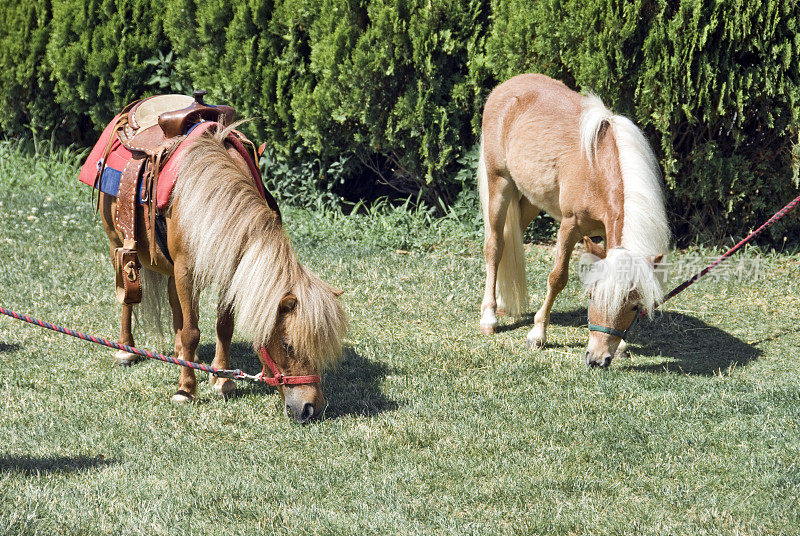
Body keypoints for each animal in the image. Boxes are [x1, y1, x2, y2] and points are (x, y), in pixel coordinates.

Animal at [97, 123, 346, 420]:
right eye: (287, 345)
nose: (311, 408)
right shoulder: (186, 271)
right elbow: (192, 331)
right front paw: (185, 390)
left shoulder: (230, 271)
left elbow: (223, 326)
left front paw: (222, 379)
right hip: (117, 245)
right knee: (127, 297)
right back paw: (126, 349)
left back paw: (183, 355)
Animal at [478, 73, 672, 366]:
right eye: (591, 296)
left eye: (634, 306)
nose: (598, 359)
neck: (598, 168)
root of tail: (505, 87)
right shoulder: (570, 226)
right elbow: (557, 277)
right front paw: (537, 335)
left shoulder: (607, 233)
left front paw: (622, 344)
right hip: (500, 184)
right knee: (495, 246)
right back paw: (489, 316)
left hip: (531, 199)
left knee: (512, 240)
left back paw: (501, 301)